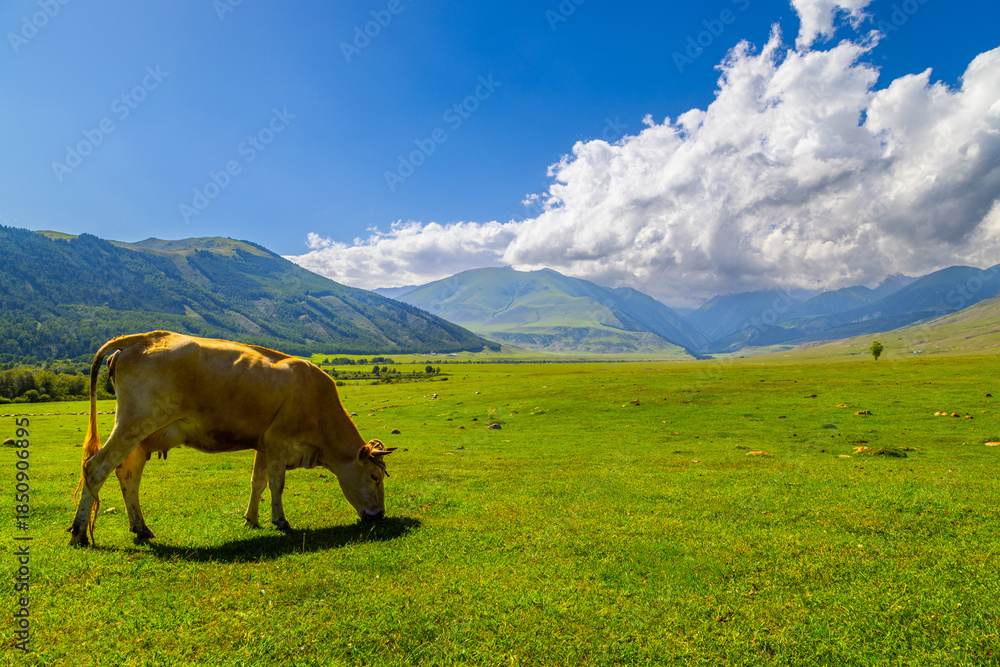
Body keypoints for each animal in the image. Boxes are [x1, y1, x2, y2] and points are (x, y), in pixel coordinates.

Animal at [69, 331, 395, 547]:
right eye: (375, 477)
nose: (379, 515)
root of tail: (141, 338)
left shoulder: (265, 443)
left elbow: (258, 481)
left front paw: (252, 518)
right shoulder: (279, 440)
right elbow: (277, 484)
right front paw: (280, 521)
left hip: (140, 435)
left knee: (128, 475)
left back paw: (141, 528)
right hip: (133, 424)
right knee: (96, 468)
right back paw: (79, 533)